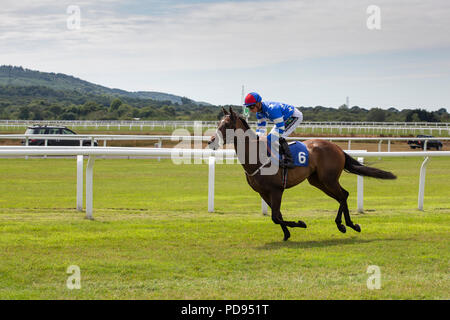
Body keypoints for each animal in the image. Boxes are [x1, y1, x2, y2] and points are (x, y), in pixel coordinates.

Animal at [206, 106, 396, 241]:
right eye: (218, 124)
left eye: (227, 125)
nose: (211, 142)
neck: (257, 157)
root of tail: (337, 147)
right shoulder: (263, 192)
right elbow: (277, 216)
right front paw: (287, 234)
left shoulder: (276, 190)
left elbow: (275, 216)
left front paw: (300, 223)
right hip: (318, 181)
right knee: (342, 196)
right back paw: (346, 225)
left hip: (329, 179)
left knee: (343, 195)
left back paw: (346, 224)